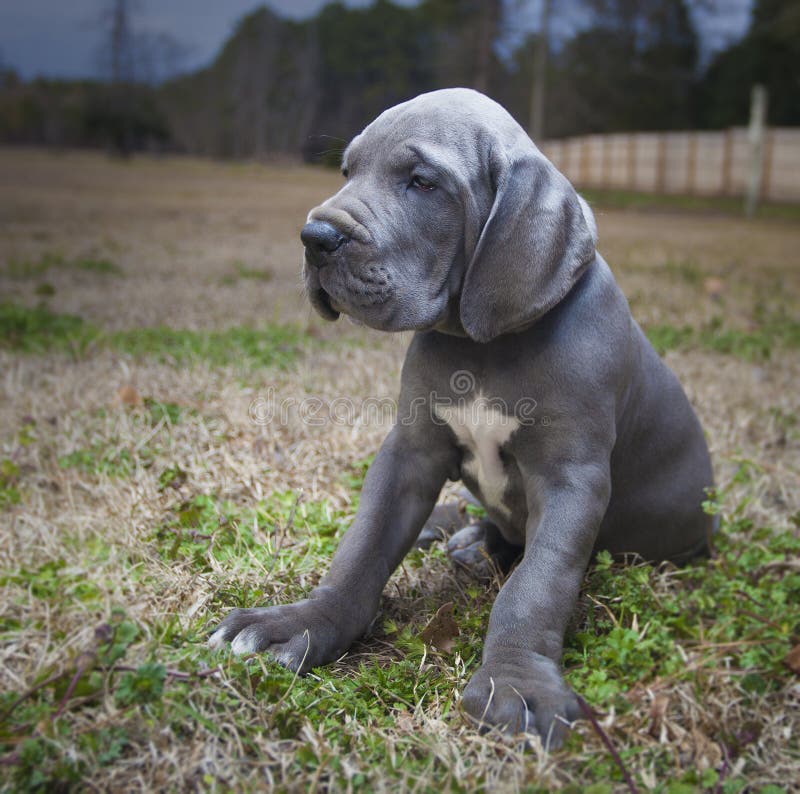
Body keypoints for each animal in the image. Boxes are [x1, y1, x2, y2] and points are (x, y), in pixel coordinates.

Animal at [209, 89, 716, 744]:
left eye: (422, 182)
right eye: (347, 172)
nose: (314, 237)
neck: (481, 347)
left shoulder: (571, 479)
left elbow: (538, 583)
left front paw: (516, 683)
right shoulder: (410, 452)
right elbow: (362, 546)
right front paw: (302, 622)